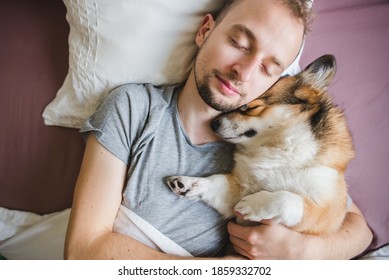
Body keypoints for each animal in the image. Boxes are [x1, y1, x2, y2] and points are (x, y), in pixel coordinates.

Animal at [165, 54, 354, 234]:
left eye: (247, 107)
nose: (213, 124)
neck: (277, 145)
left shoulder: (326, 213)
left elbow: (289, 199)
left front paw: (252, 204)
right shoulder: (235, 191)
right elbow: (214, 181)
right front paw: (188, 183)